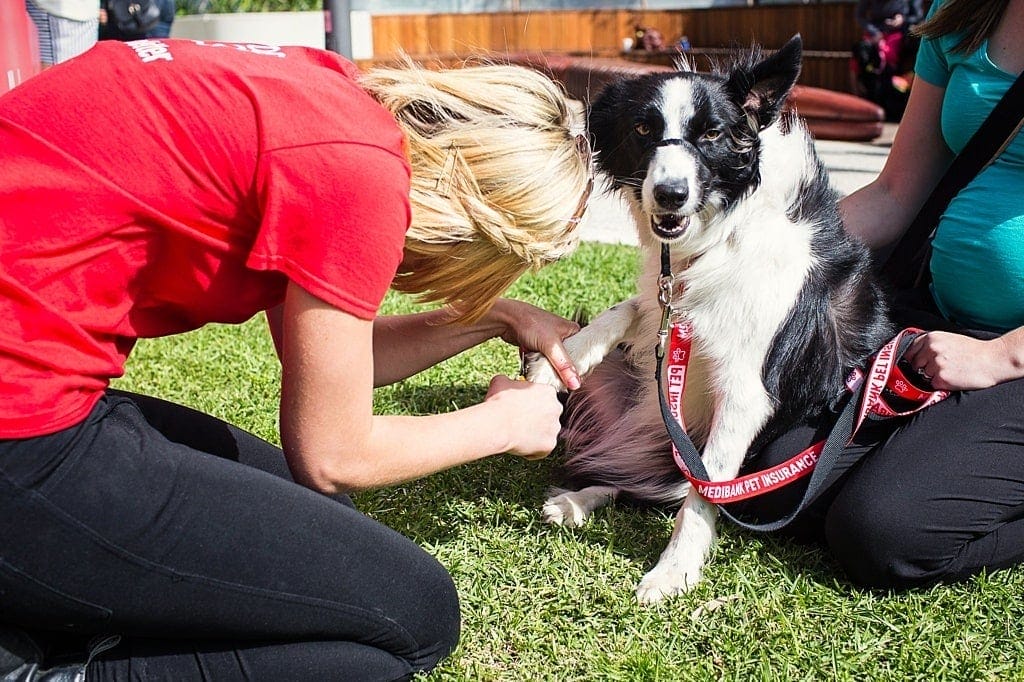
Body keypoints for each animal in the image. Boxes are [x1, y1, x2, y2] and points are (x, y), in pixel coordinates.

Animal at [528, 35, 897, 602]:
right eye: (643, 130)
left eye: (712, 133)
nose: (670, 194)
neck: (723, 233)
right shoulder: (667, 297)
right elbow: (627, 308)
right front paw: (560, 359)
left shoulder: (747, 392)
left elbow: (706, 489)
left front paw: (673, 571)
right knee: (636, 475)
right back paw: (578, 498)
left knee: (674, 481)